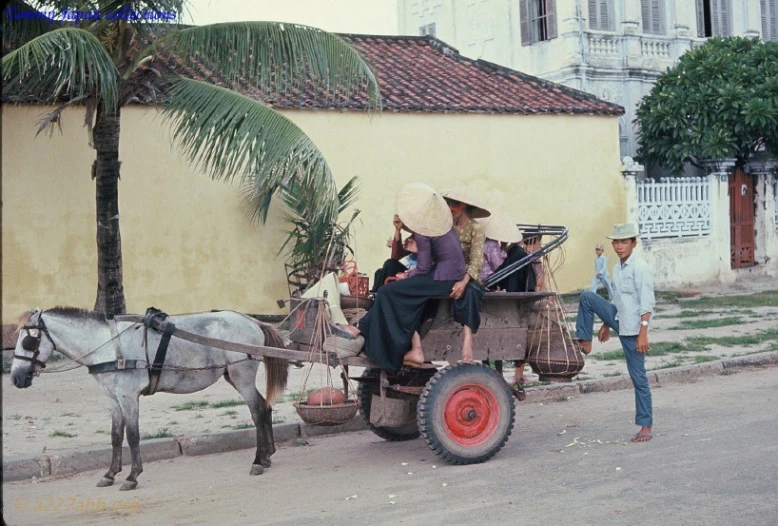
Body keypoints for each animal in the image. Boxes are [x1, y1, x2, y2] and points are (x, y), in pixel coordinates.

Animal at [9, 308, 288, 492]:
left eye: (28, 340)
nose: (16, 378)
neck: (107, 346)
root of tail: (251, 320)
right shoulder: (114, 399)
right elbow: (115, 436)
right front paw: (110, 474)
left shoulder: (128, 396)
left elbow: (132, 436)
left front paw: (132, 476)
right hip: (232, 375)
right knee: (265, 406)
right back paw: (267, 455)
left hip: (242, 376)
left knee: (257, 411)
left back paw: (258, 460)